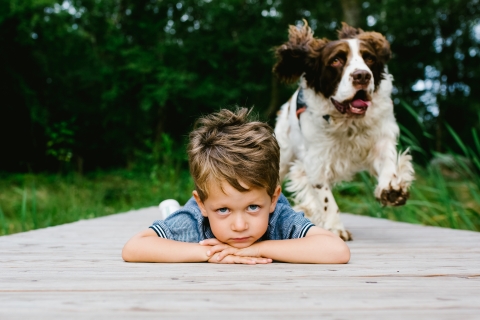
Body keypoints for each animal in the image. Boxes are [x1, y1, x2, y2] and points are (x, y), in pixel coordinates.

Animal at [272, 20, 414, 240]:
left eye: (369, 58)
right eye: (336, 60)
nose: (362, 76)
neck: (348, 122)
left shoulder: (381, 138)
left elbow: (388, 163)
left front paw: (391, 190)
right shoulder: (317, 160)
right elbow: (326, 199)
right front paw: (335, 228)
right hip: (284, 154)